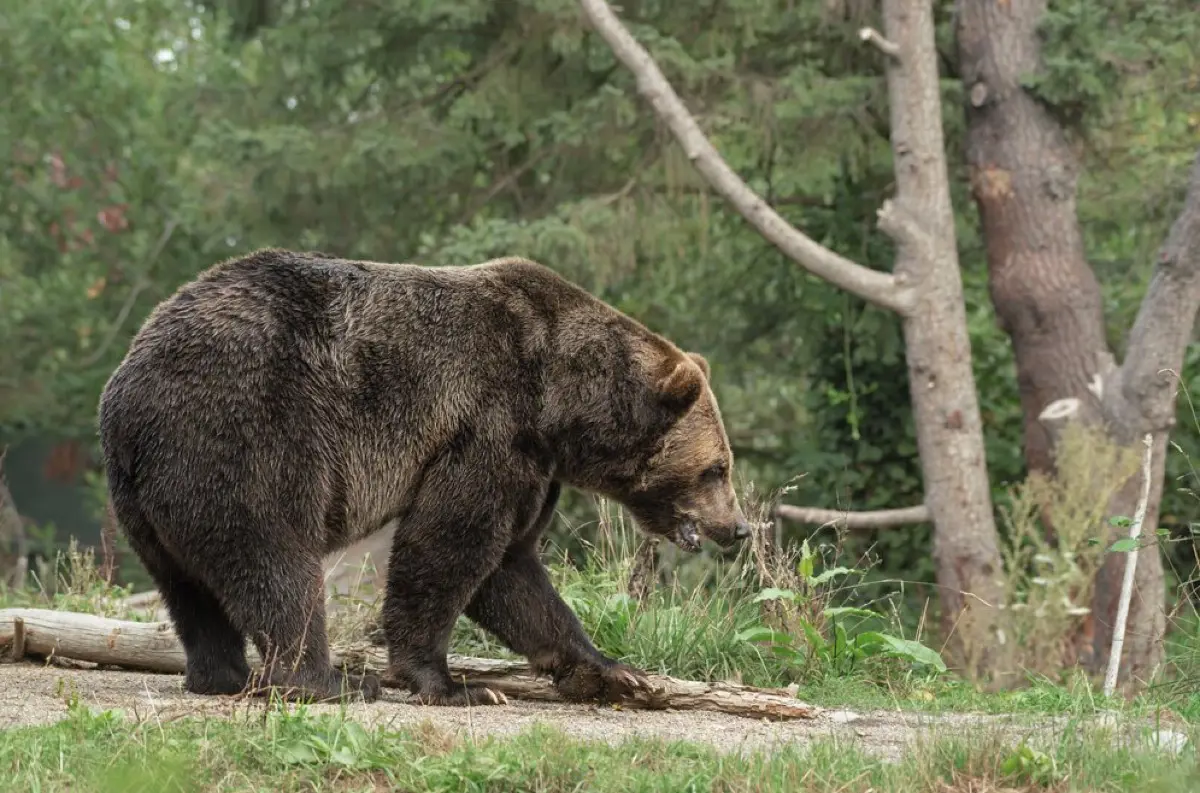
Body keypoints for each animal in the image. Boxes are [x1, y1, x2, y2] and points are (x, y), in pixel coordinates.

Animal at [96, 249, 748, 705]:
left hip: (145, 496)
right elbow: (450, 545)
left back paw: (220, 675)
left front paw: (616, 672)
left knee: (188, 586)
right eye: (717, 468)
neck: (561, 402)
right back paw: (327, 681)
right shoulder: (489, 424)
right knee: (273, 559)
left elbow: (512, 569)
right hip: (247, 433)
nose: (738, 528)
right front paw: (454, 682)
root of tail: (128, 391)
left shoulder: (534, 464)